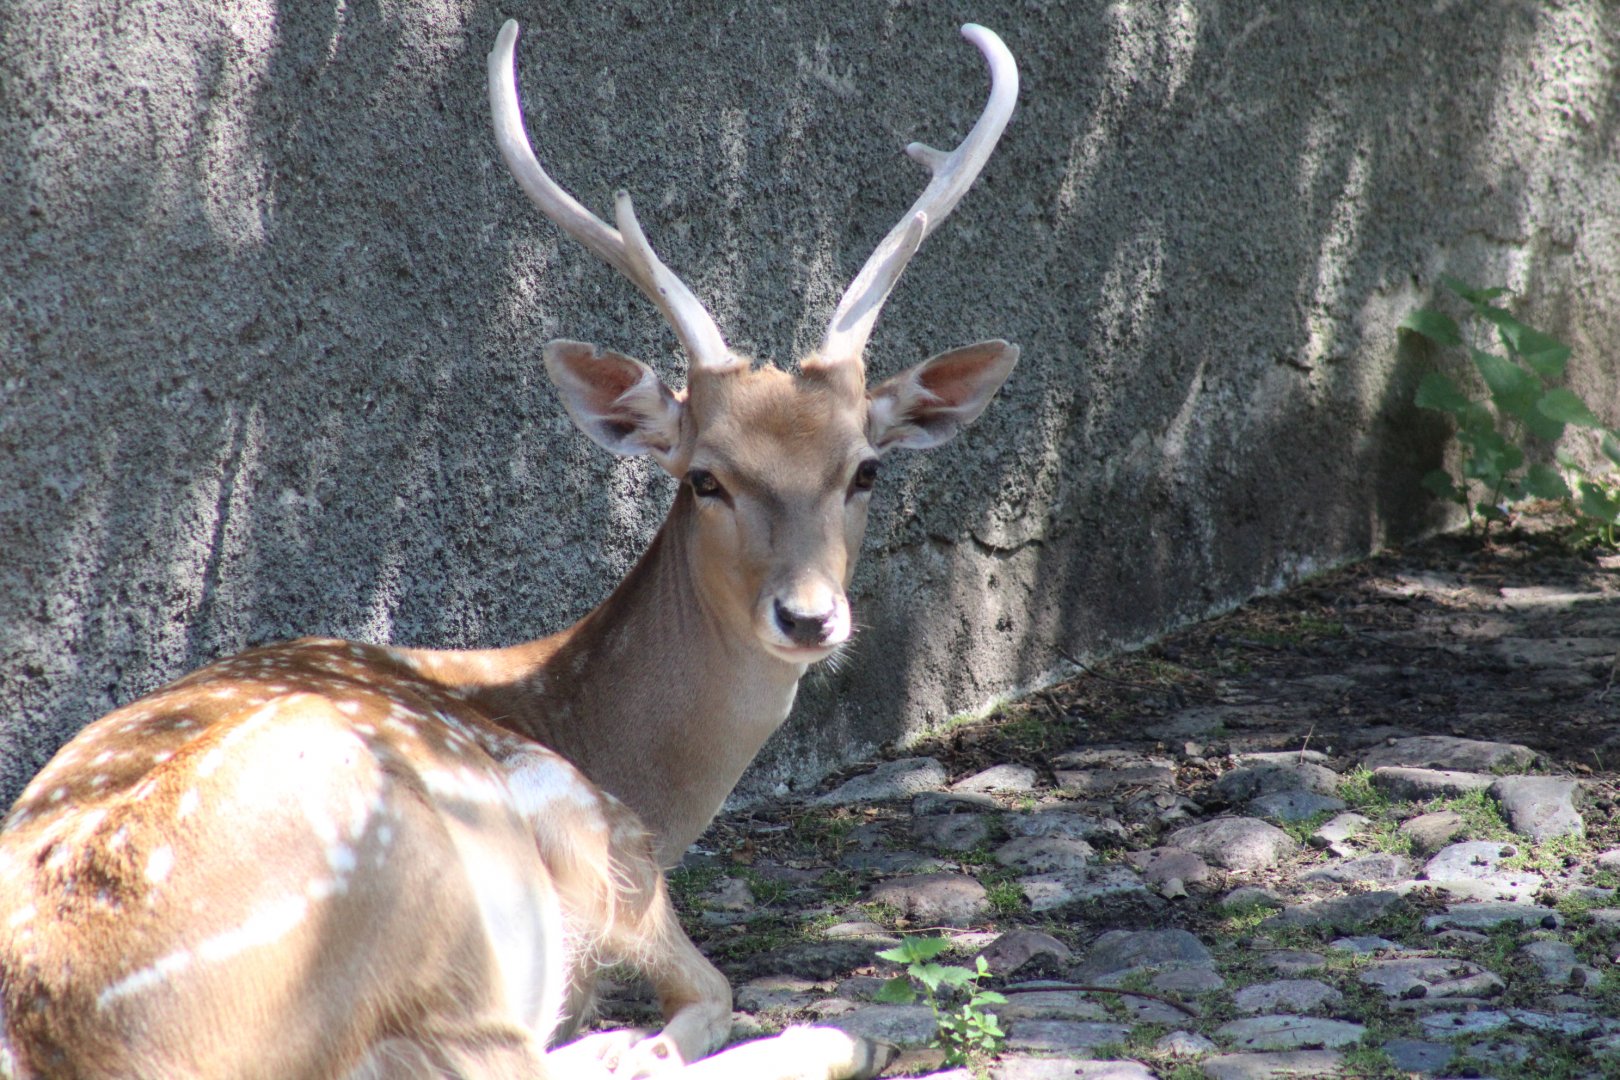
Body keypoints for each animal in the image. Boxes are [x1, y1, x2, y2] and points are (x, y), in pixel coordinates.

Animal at [0, 16, 1019, 1080]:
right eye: (706, 478)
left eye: (866, 470)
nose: (809, 615)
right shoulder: (600, 828)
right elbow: (709, 990)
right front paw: (663, 1034)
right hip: (432, 895)